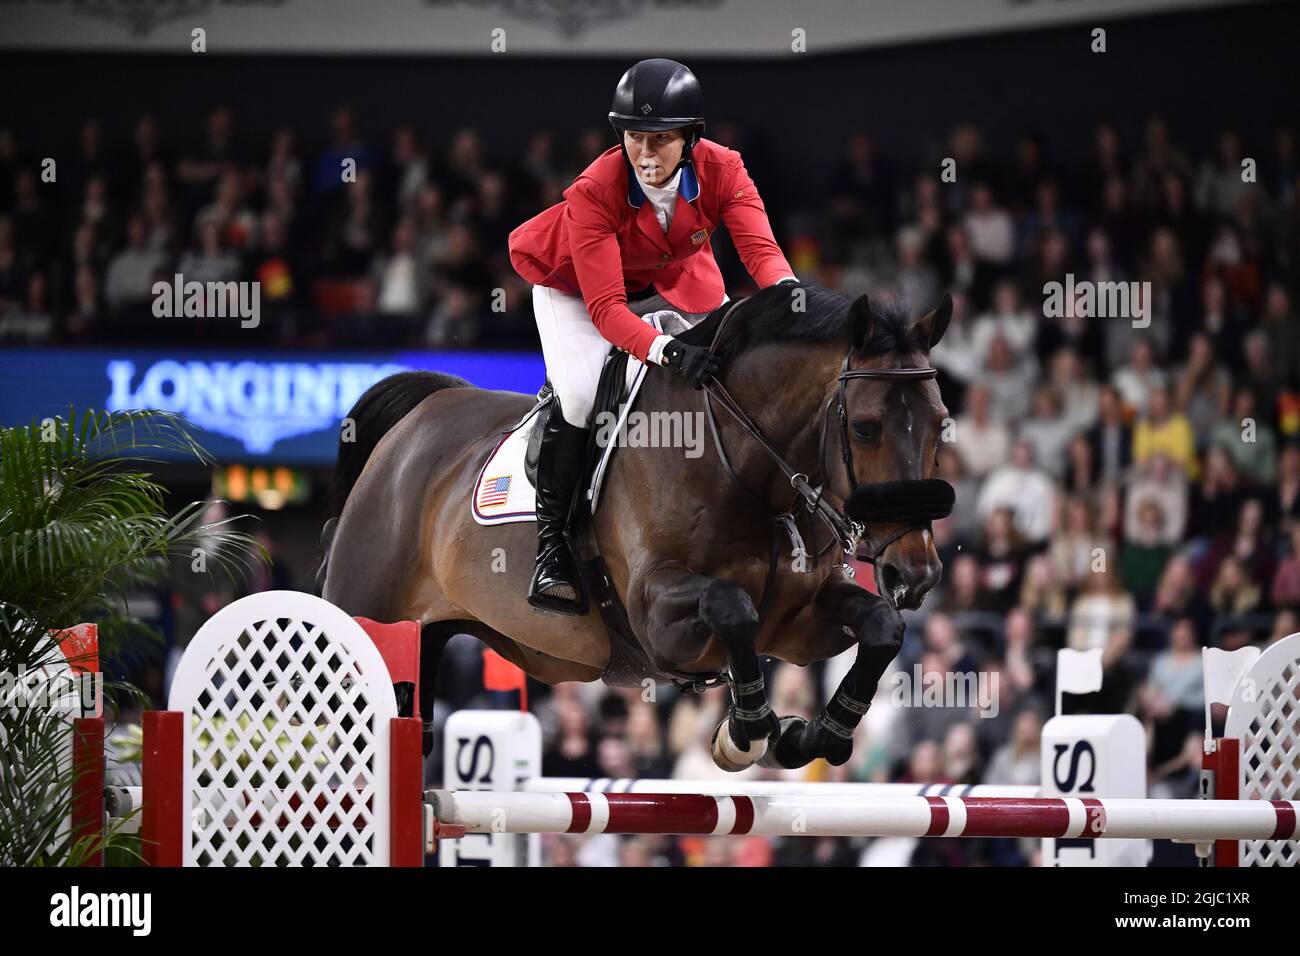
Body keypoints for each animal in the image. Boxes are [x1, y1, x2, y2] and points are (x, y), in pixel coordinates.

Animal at [319, 283, 956, 770]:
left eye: (941, 423)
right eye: (866, 428)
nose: (917, 574)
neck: (745, 465)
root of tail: (413, 425)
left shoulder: (798, 624)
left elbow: (881, 627)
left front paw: (813, 735)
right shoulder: (657, 615)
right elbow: (732, 606)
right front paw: (747, 730)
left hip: (434, 634)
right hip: (365, 616)